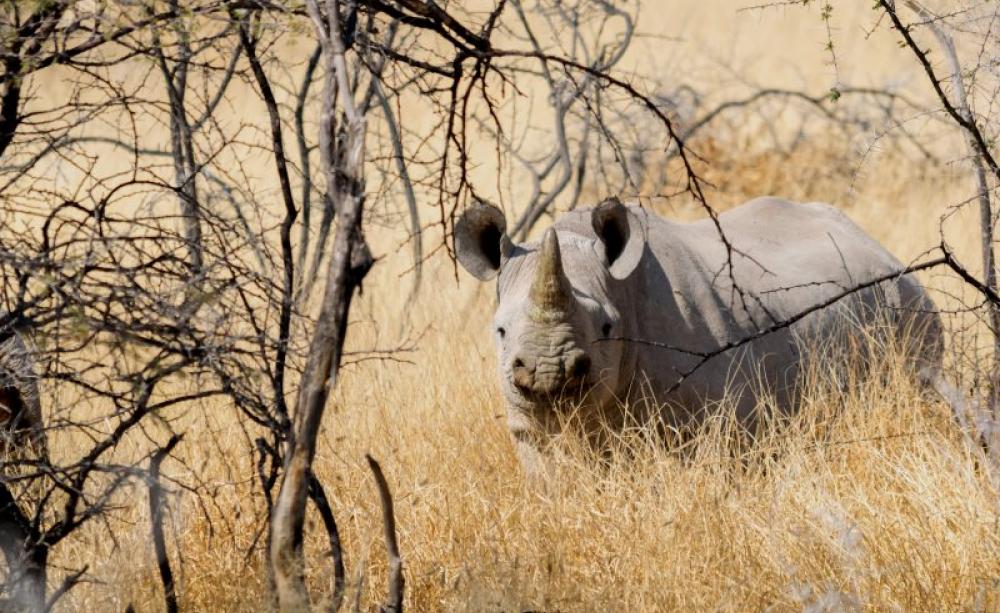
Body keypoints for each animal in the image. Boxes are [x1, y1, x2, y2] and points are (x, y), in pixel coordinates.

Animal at [455, 196, 947, 476]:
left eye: (608, 328)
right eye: (500, 330)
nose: (547, 373)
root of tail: (883, 249)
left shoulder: (714, 425)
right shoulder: (530, 428)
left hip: (908, 308)